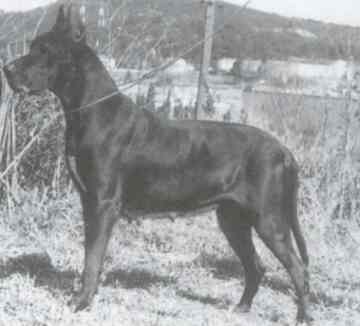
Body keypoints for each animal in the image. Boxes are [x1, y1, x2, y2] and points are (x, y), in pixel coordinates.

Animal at [3, 3, 312, 322]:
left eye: (44, 50)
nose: (7, 69)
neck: (89, 111)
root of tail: (285, 151)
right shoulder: (88, 201)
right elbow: (90, 254)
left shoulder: (103, 205)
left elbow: (93, 258)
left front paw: (81, 302)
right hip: (232, 219)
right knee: (256, 265)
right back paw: (242, 307)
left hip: (268, 219)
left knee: (297, 268)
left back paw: (302, 316)